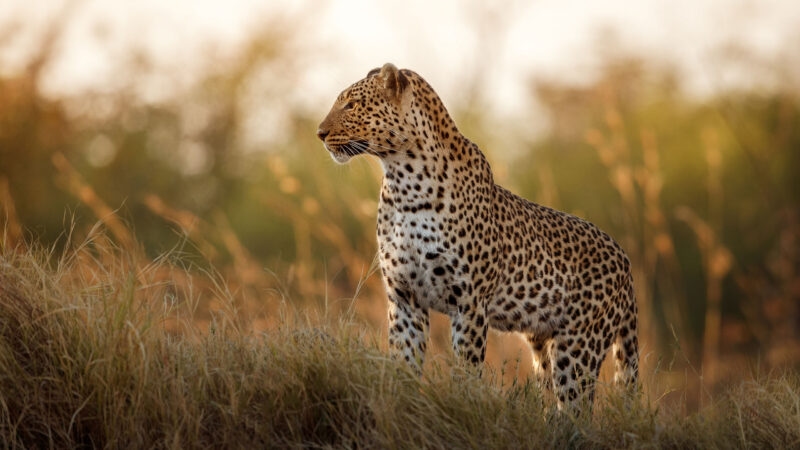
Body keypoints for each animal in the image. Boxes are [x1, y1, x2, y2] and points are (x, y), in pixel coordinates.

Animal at [316, 63, 638, 409]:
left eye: (351, 105)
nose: (320, 133)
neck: (404, 181)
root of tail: (624, 259)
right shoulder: (404, 298)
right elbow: (404, 364)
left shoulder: (468, 302)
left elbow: (466, 370)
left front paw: (462, 405)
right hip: (543, 344)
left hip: (578, 346)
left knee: (576, 408)